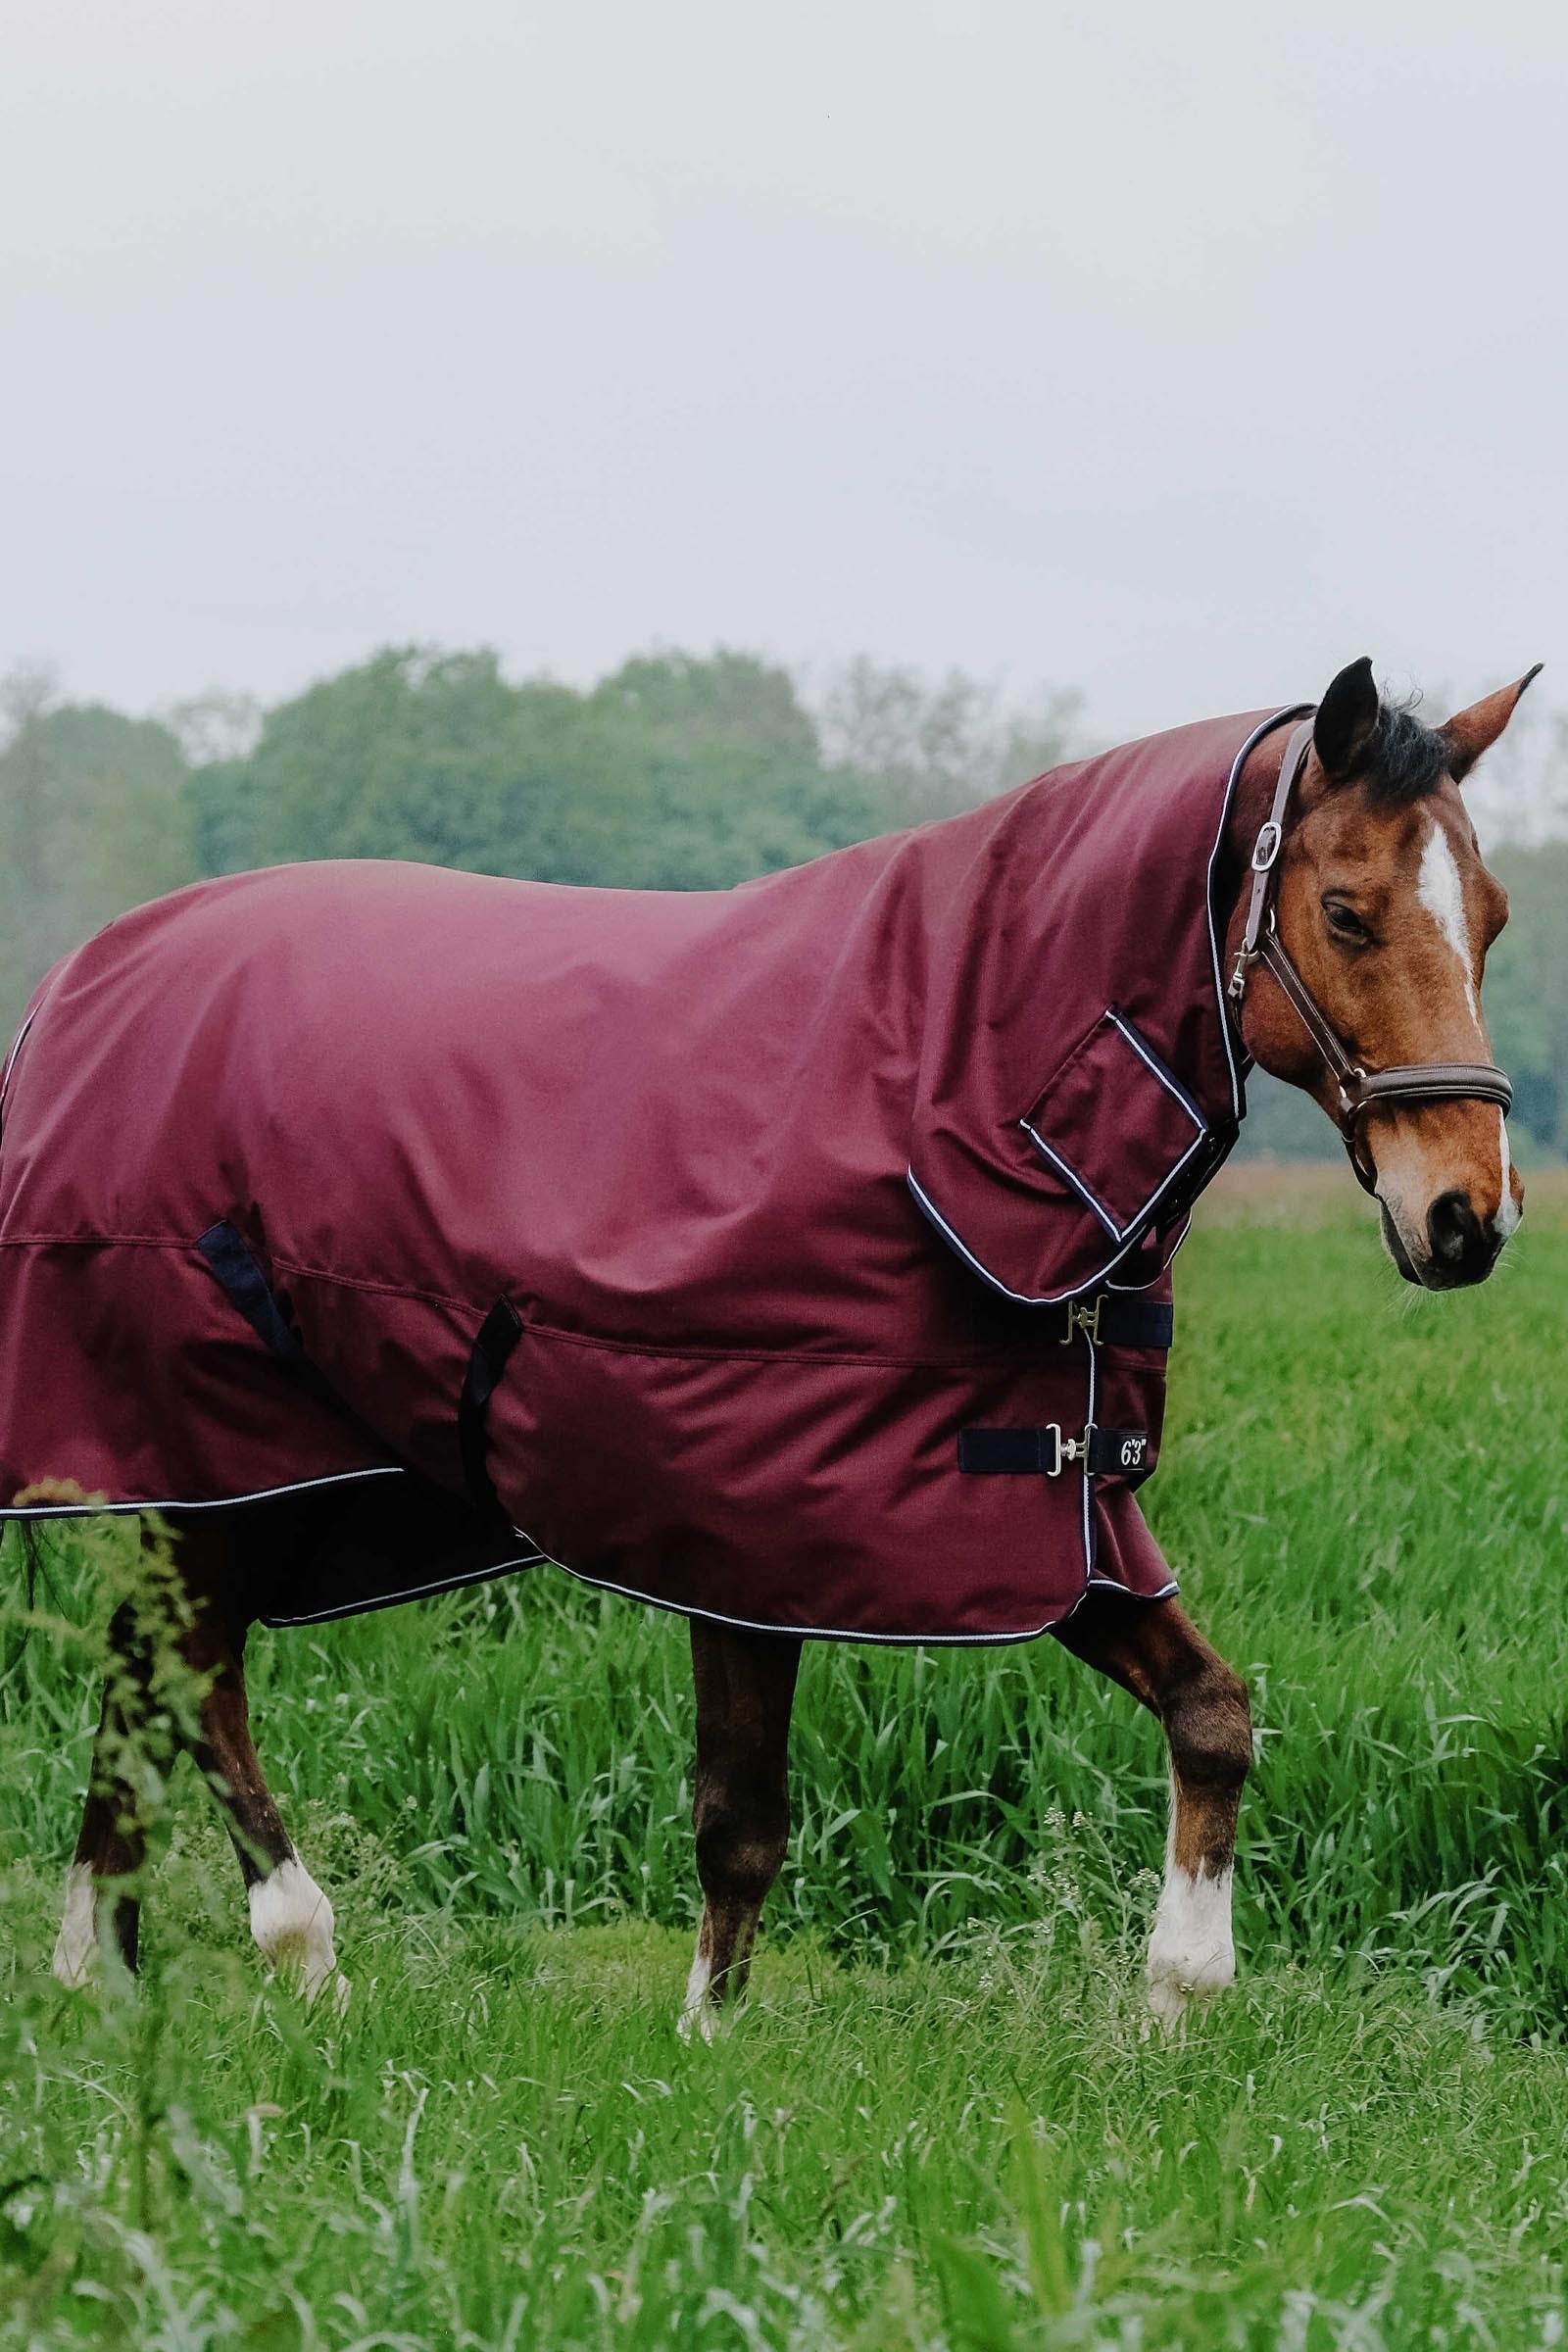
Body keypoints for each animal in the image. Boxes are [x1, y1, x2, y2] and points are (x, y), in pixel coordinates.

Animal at [0, 654, 1533, 2028]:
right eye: (1343, 911)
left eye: (1495, 917)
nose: (1466, 1217)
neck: (938, 1088)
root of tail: (81, 979)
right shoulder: (747, 1532)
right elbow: (741, 1816)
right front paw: (708, 2045)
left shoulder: (1042, 1517)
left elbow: (1213, 1710)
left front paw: (1181, 1992)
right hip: (207, 1452)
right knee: (189, 1679)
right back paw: (297, 1949)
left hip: (238, 1483)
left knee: (146, 1675)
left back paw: (98, 1970)